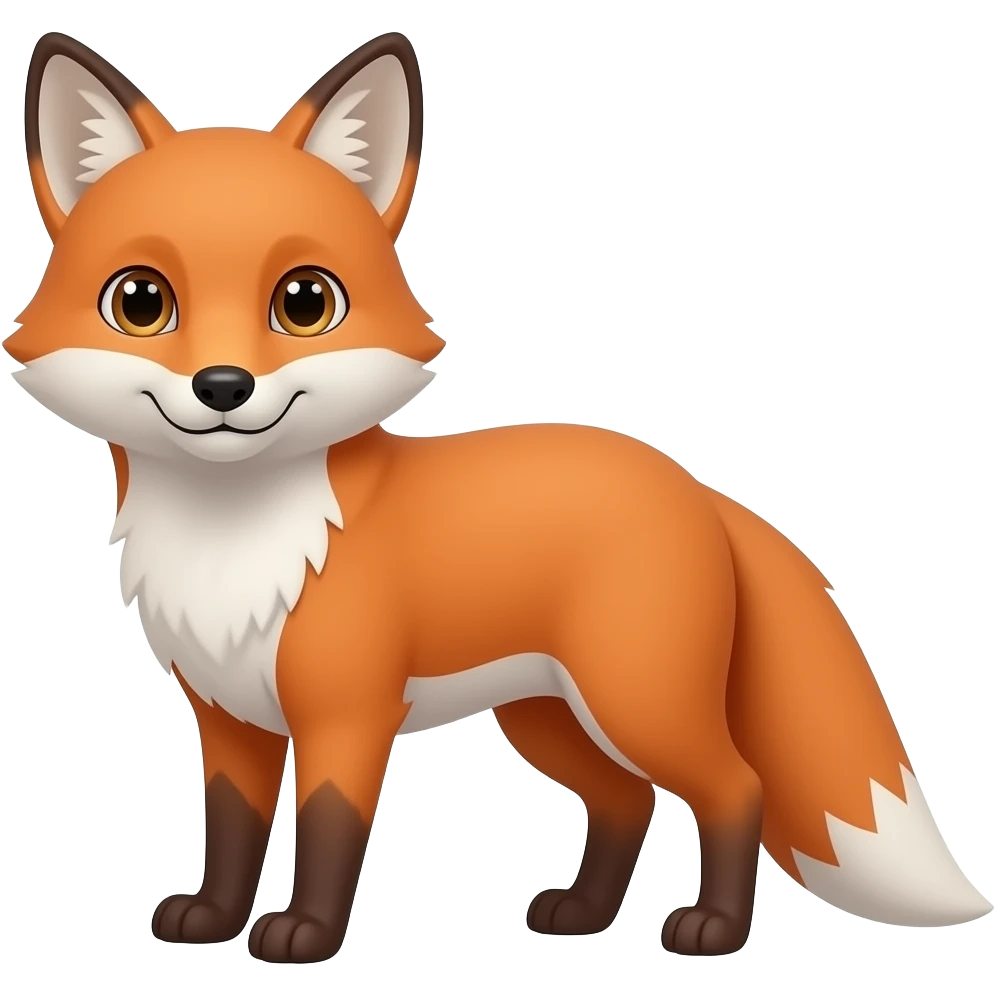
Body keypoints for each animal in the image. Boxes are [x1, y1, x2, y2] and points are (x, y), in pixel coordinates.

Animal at [7, 28, 992, 965]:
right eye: (141, 302)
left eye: (304, 302)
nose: (223, 386)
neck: (236, 544)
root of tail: (691, 483)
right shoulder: (229, 721)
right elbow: (232, 832)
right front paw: (213, 919)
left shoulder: (347, 716)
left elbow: (326, 832)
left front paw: (306, 937)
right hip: (549, 717)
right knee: (627, 800)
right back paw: (584, 915)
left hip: (636, 701)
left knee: (732, 786)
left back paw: (712, 928)